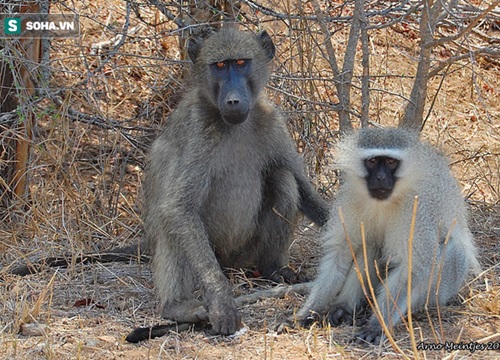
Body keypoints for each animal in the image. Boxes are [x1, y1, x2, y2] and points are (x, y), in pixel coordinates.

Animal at [298, 126, 478, 344]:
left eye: (391, 162)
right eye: (373, 161)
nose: (381, 178)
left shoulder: (417, 208)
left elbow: (413, 267)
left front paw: (377, 325)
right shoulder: (350, 197)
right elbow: (340, 255)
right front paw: (308, 312)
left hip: (442, 291)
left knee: (450, 250)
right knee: (371, 243)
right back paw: (344, 307)